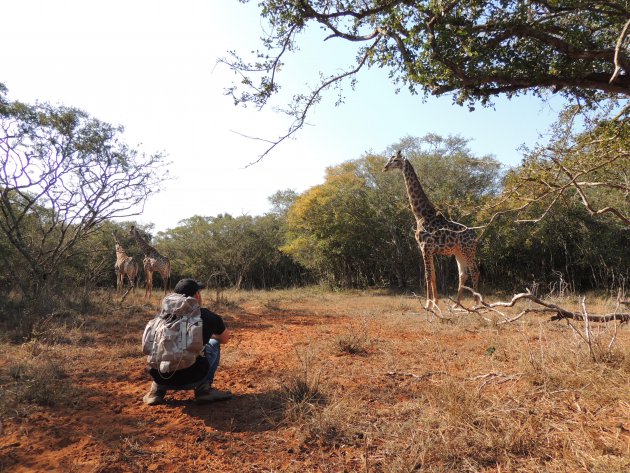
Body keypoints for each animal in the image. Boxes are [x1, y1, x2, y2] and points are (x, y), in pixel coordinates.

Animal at [382, 149, 482, 308]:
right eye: (390, 159)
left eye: (395, 160)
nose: (384, 167)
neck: (420, 215)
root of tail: (475, 235)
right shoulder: (428, 249)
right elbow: (433, 276)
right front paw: (435, 303)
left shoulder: (425, 247)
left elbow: (428, 276)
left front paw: (428, 305)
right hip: (458, 252)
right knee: (463, 274)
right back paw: (457, 305)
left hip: (468, 250)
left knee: (475, 271)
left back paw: (477, 304)